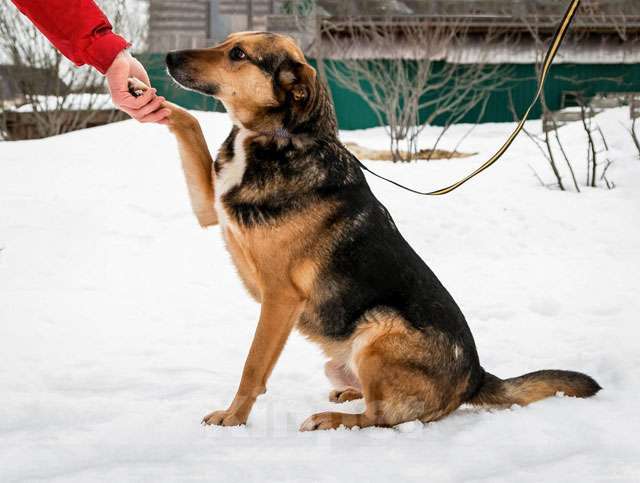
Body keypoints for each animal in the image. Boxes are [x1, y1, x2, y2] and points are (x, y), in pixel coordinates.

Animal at [136, 30, 600, 432]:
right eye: (227, 43)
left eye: (238, 54)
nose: (168, 58)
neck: (275, 138)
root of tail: (475, 377)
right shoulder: (210, 209)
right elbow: (190, 125)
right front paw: (148, 97)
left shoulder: (280, 296)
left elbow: (252, 366)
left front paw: (234, 418)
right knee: (380, 404)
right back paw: (346, 394)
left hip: (378, 330)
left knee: (383, 418)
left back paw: (331, 418)